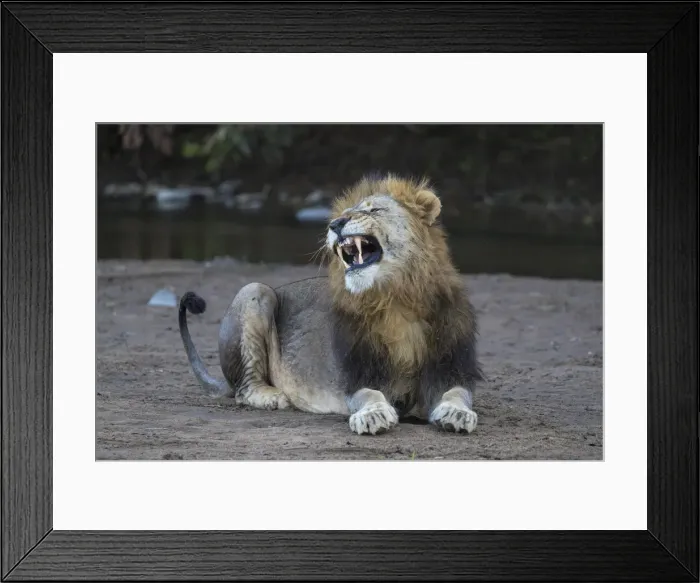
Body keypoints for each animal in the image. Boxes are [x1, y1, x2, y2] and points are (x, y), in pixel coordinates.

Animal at [178, 173, 484, 435]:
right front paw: (372, 415)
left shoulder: (450, 368)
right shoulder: (357, 374)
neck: (396, 300)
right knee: (243, 388)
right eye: (344, 213)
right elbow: (369, 394)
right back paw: (272, 396)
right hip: (254, 291)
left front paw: (457, 414)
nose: (335, 225)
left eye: (374, 210)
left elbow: (458, 393)